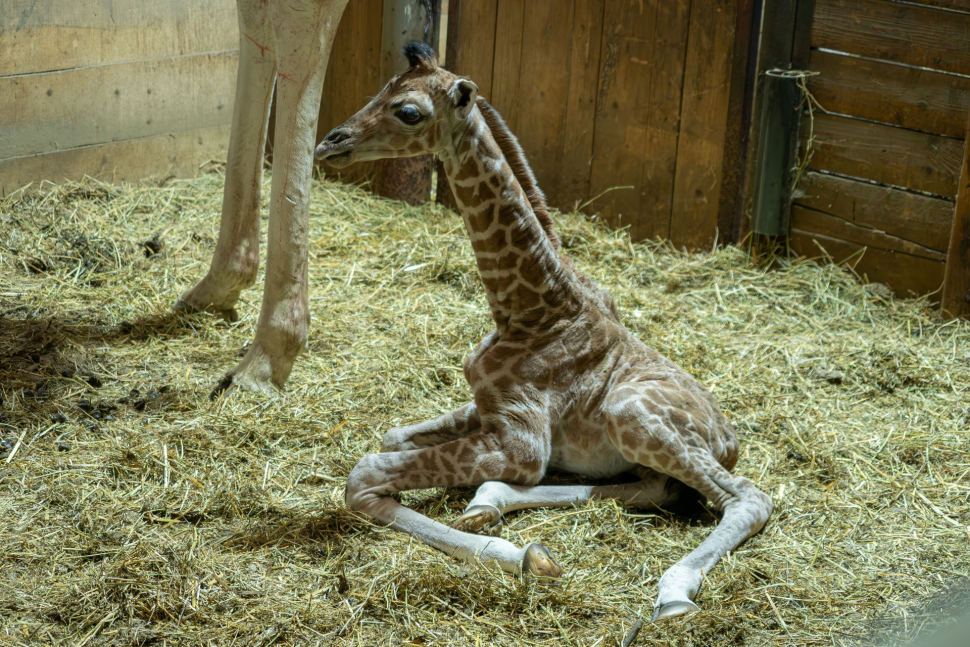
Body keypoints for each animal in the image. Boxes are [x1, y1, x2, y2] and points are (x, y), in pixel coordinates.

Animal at [316, 41, 772, 624]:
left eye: (409, 112)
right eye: (382, 88)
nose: (331, 142)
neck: (528, 308)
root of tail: (730, 439)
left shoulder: (523, 442)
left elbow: (363, 477)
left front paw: (522, 558)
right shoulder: (488, 409)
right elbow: (392, 436)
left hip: (631, 412)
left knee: (746, 497)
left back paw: (673, 591)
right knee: (654, 489)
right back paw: (488, 500)